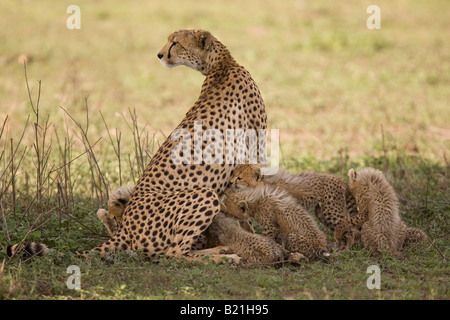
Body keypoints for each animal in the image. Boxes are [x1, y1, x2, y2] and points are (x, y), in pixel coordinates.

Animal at [77, 28, 268, 264]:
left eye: (175, 43)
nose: (159, 55)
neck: (221, 64)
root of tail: (125, 228)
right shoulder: (255, 146)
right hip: (204, 195)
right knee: (174, 254)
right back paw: (224, 257)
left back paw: (220, 249)